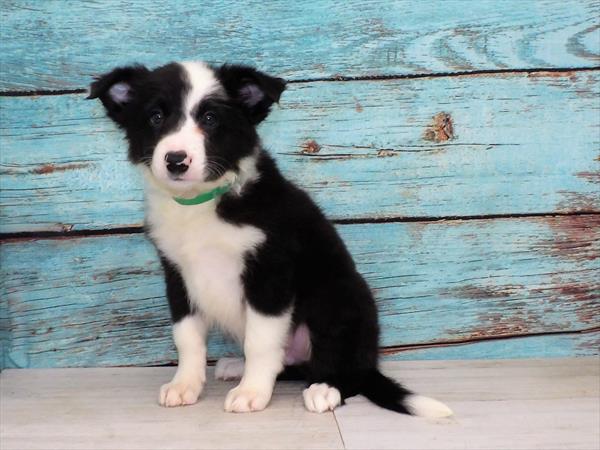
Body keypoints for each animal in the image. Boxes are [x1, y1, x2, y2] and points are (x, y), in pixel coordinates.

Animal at [89, 61, 452, 416]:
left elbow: (260, 342)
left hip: (337, 296)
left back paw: (325, 388)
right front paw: (185, 385)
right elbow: (187, 336)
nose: (176, 160)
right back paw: (238, 367)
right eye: (155, 117)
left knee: (347, 371)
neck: (201, 202)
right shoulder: (177, 274)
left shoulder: (270, 273)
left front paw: (251, 393)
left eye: (210, 119)